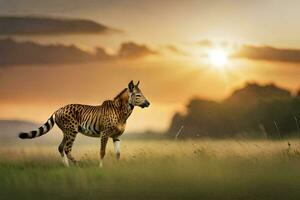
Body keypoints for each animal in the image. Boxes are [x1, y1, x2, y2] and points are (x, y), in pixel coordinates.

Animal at [18, 81, 150, 167]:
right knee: (67, 149)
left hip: (66, 132)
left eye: (142, 94)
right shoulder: (104, 134)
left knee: (60, 147)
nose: (148, 103)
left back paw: (67, 167)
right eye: (138, 95)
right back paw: (78, 165)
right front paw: (100, 167)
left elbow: (118, 153)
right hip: (72, 132)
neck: (122, 111)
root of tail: (59, 109)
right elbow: (102, 152)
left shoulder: (116, 136)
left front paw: (118, 168)